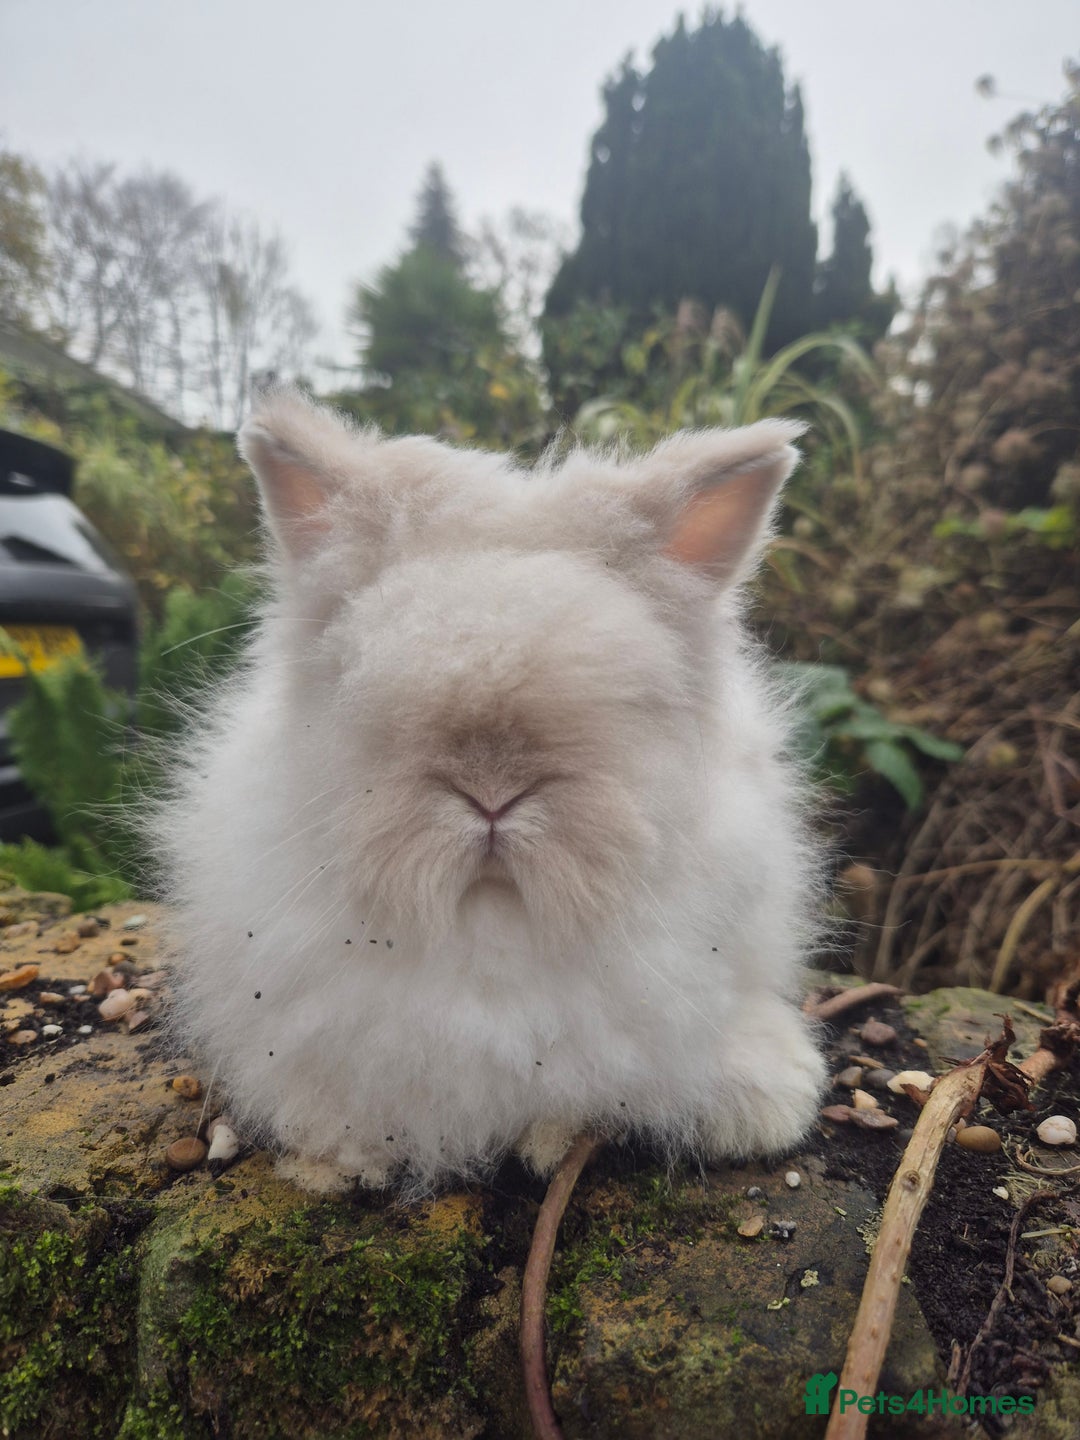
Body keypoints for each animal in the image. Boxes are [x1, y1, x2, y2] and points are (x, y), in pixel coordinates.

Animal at [154, 386, 826, 1194]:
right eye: (358, 681)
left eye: (627, 696)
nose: (493, 793)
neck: (494, 924)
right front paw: (339, 1160)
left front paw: (766, 1109)